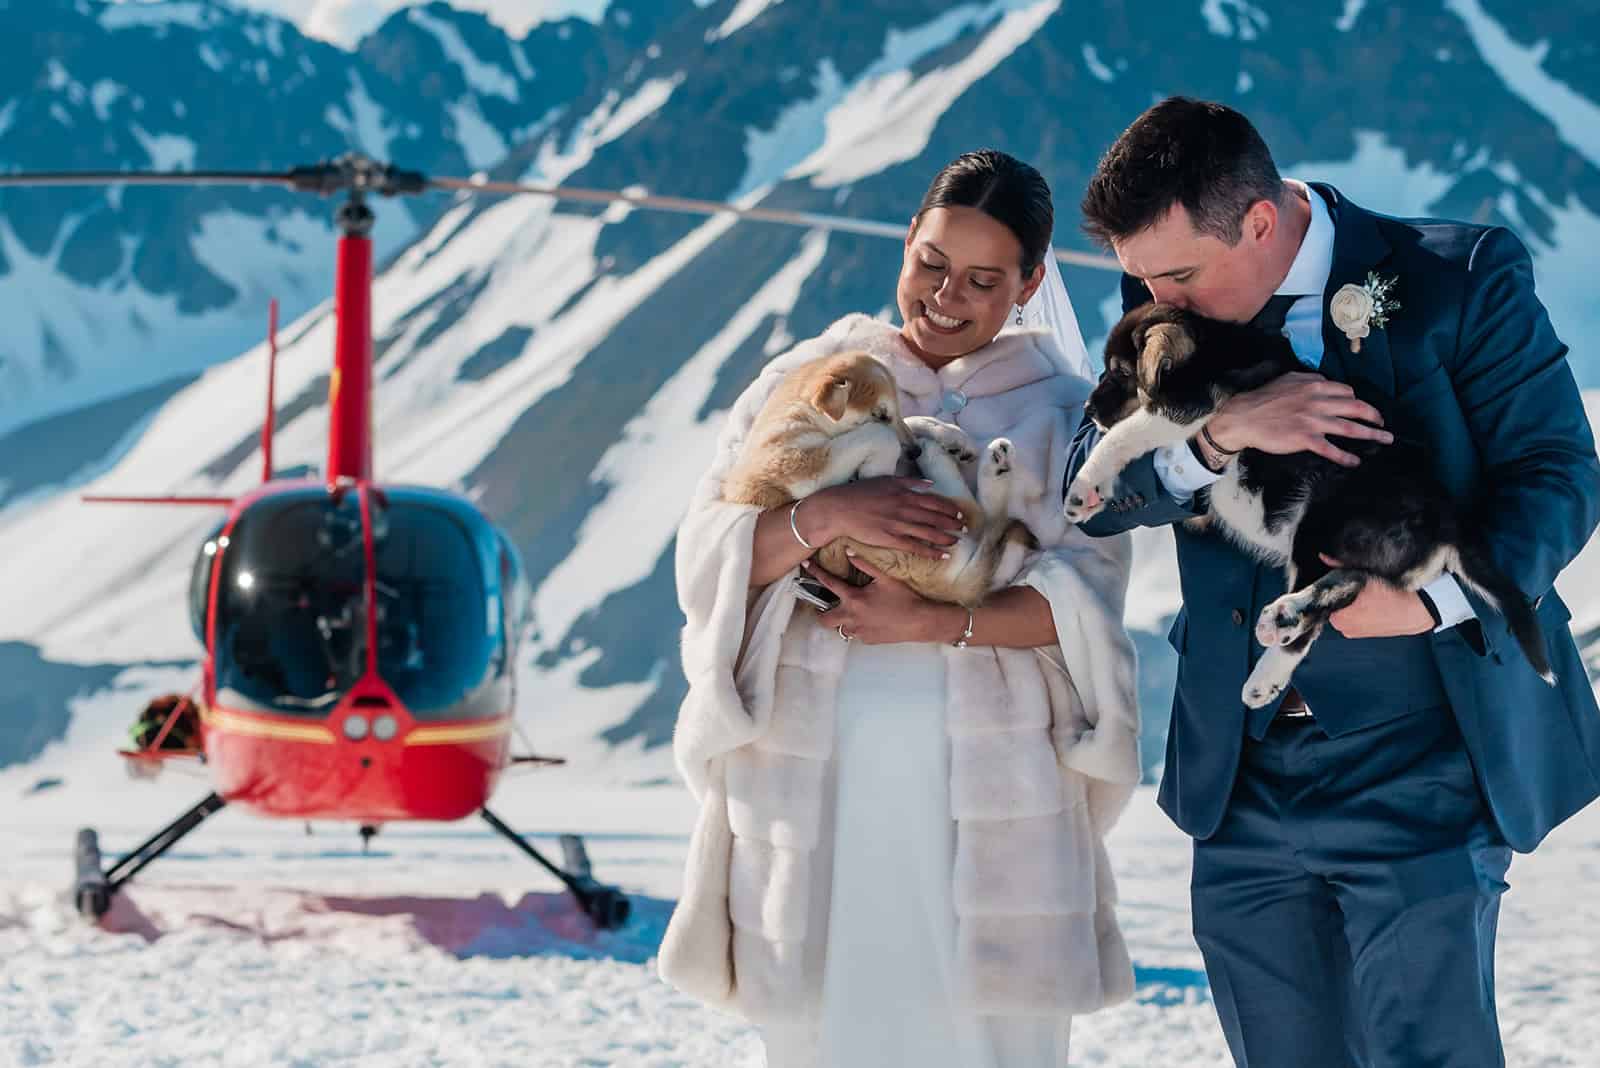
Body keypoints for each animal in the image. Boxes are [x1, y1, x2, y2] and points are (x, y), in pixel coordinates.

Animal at [1062, 300, 1548, 709]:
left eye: (1120, 372)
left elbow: (1122, 434)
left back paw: (1283, 619)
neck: (1210, 349)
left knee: (1328, 593)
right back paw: (1269, 669)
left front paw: (1084, 491)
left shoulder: (1189, 405)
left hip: (1323, 515)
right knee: (1344, 588)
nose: (1087, 408)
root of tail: (1449, 519)